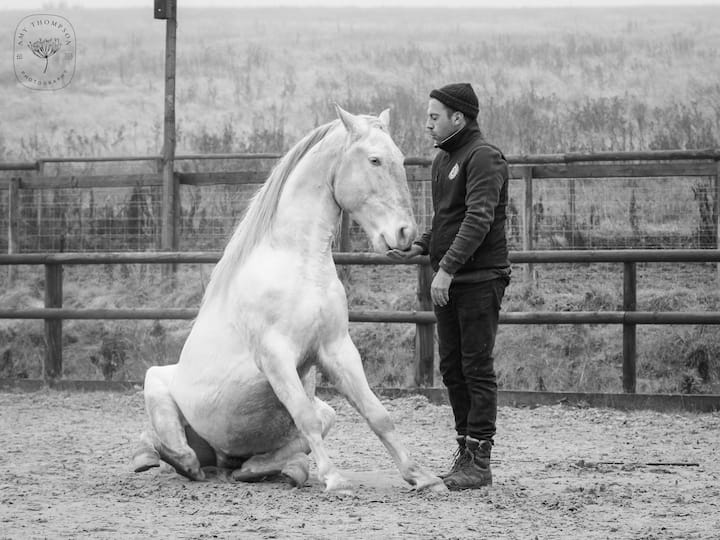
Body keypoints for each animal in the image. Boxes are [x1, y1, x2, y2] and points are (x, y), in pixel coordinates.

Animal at [133, 106, 446, 494]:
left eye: (401, 159)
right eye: (374, 159)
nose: (405, 234)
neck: (300, 266)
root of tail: (217, 458)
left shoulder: (337, 349)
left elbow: (377, 415)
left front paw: (422, 476)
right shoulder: (275, 356)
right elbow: (304, 416)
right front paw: (335, 479)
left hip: (319, 414)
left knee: (264, 452)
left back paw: (265, 469)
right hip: (156, 385)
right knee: (178, 454)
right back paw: (154, 457)